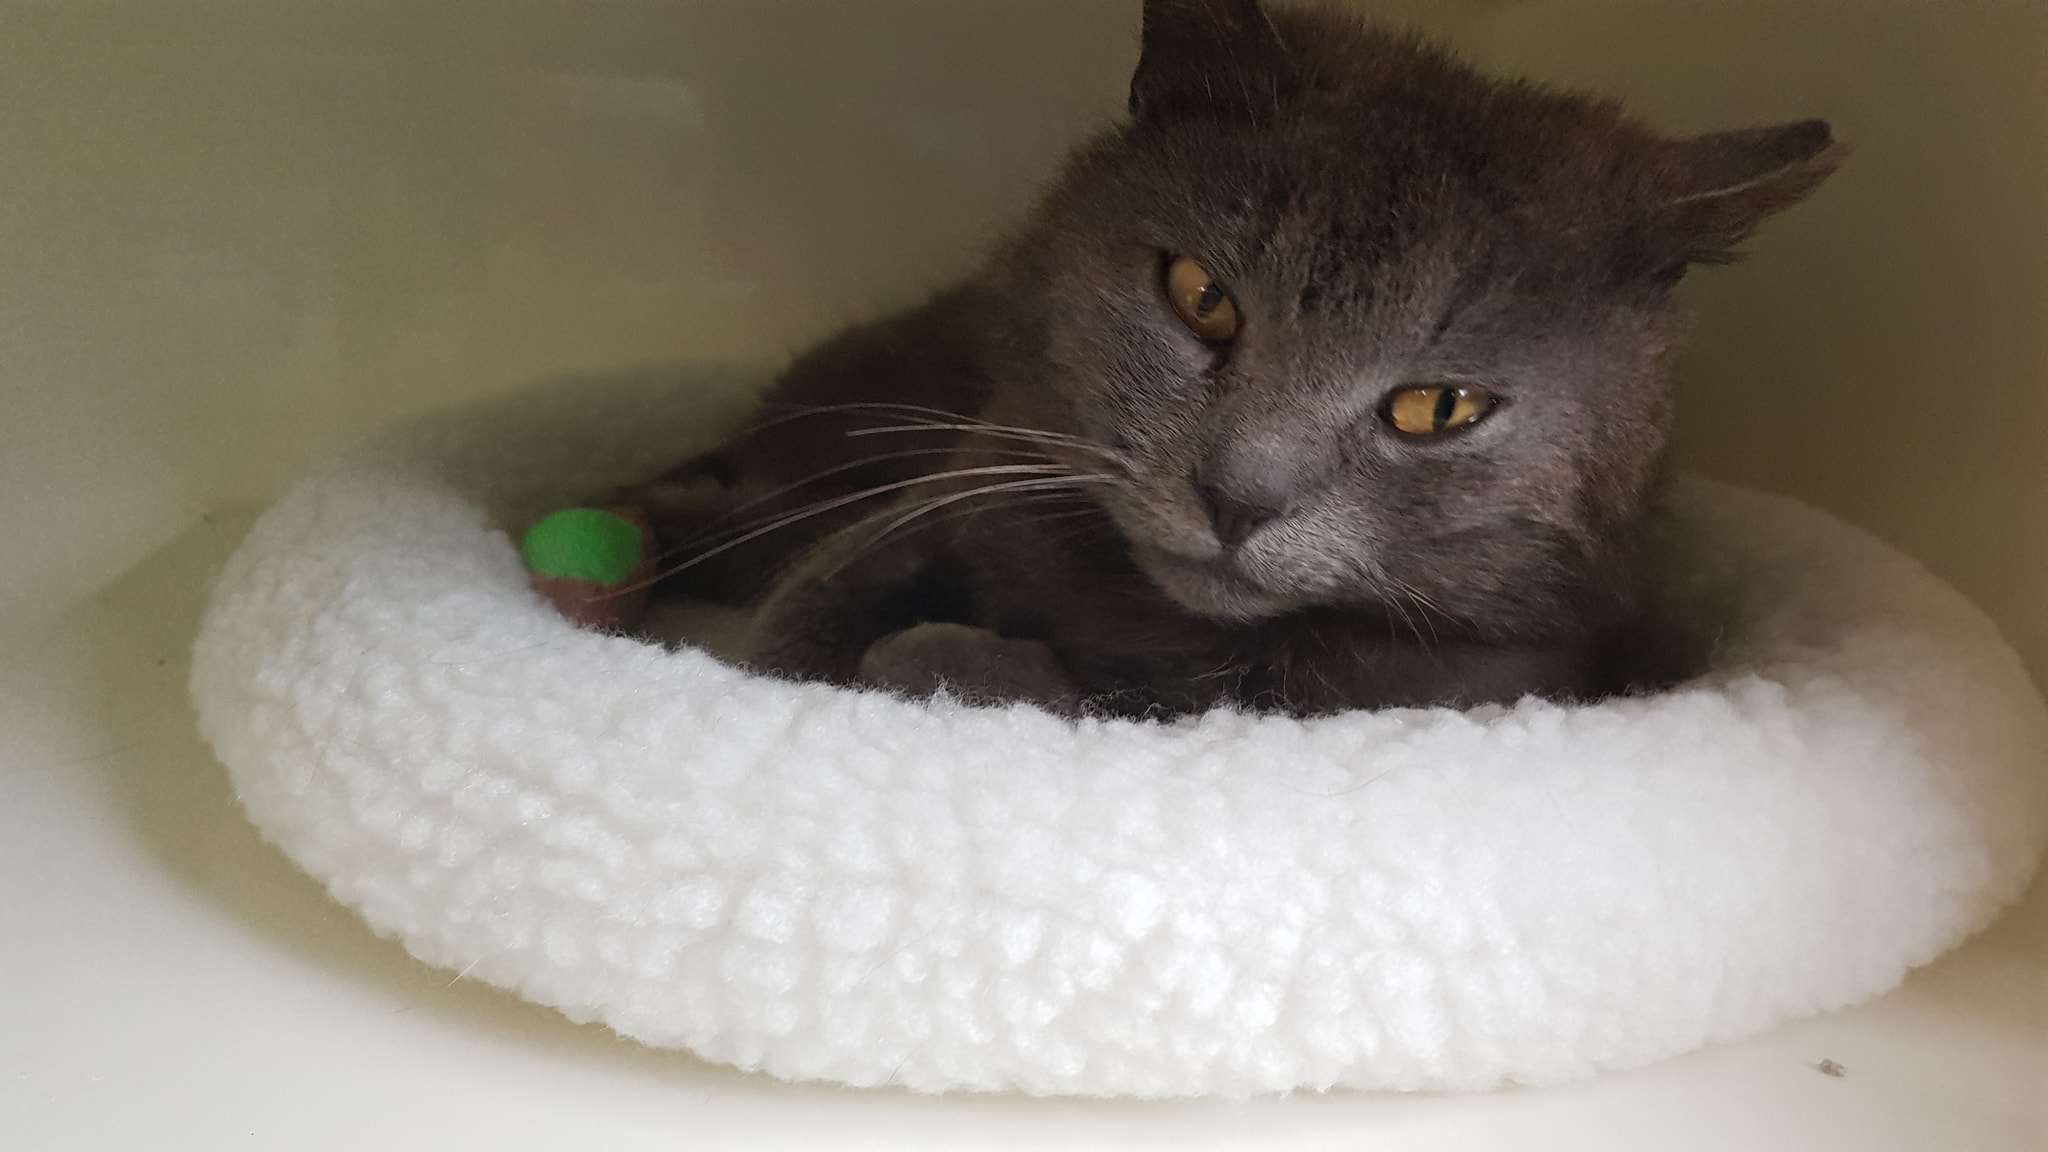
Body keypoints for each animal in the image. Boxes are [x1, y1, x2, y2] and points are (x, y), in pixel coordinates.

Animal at [630, 0, 1840, 718]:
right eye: (1201, 296)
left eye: (1439, 407)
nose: (1238, 497)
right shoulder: (963, 477)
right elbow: (812, 607)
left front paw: (941, 660)